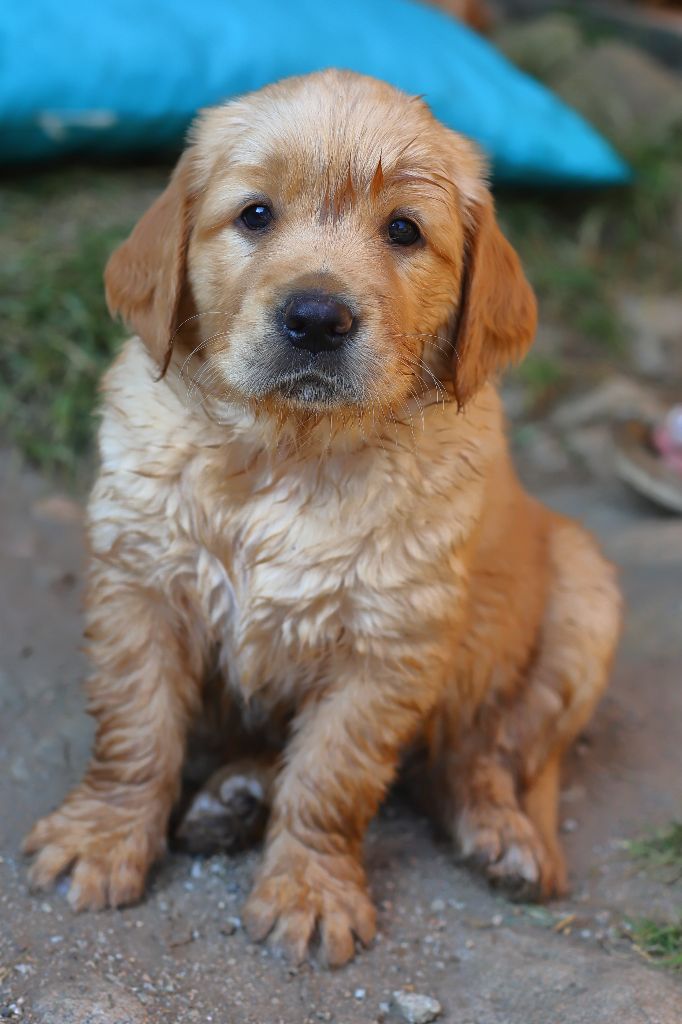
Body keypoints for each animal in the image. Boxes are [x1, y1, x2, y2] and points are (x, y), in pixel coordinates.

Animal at [25, 68, 622, 962]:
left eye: (404, 230)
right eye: (255, 215)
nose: (316, 318)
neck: (289, 450)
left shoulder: (388, 645)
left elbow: (330, 778)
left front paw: (309, 891)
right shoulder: (141, 586)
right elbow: (136, 731)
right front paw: (102, 838)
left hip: (584, 596)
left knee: (485, 753)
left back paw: (502, 835)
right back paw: (232, 796)